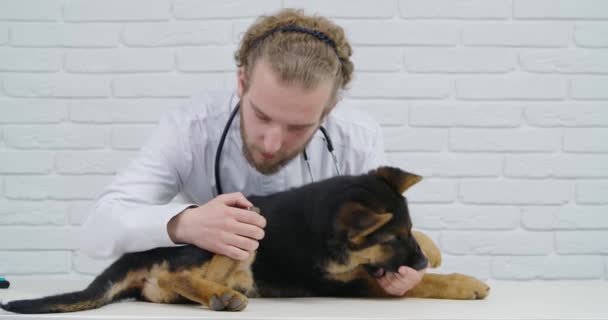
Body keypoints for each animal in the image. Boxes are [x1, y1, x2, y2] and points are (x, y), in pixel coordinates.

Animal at [0, 166, 490, 314]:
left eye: (406, 231)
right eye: (391, 238)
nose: (419, 262)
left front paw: (434, 252)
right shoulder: (349, 282)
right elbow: (424, 285)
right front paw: (461, 282)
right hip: (245, 221)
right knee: (176, 274)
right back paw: (221, 295)